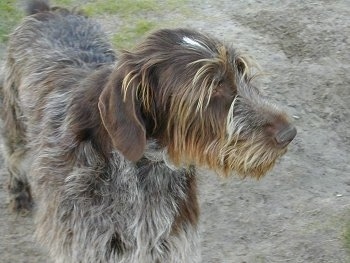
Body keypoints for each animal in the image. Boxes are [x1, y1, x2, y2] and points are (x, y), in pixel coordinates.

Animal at [1, 1, 296, 262]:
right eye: (213, 87)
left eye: (242, 72)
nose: (289, 134)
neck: (144, 171)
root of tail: (46, 12)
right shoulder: (86, 246)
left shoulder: (172, 245)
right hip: (15, 127)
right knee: (13, 158)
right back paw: (19, 194)